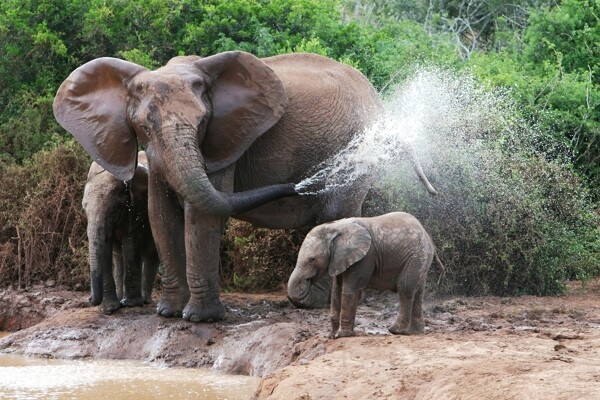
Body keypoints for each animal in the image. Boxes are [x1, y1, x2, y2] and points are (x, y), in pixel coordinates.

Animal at [84, 152, 161, 314]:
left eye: (114, 208)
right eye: (84, 210)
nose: (89, 298)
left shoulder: (136, 207)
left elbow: (131, 242)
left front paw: (131, 304)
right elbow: (106, 249)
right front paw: (109, 309)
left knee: (151, 254)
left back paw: (143, 300)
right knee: (119, 257)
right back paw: (121, 299)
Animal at [288, 211, 442, 340]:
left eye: (312, 259)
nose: (306, 282)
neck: (334, 227)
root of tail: (427, 236)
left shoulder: (365, 258)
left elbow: (350, 290)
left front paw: (343, 335)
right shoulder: (340, 259)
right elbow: (336, 291)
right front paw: (331, 336)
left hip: (415, 256)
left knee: (405, 288)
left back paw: (395, 330)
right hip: (421, 259)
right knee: (418, 292)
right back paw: (416, 331)